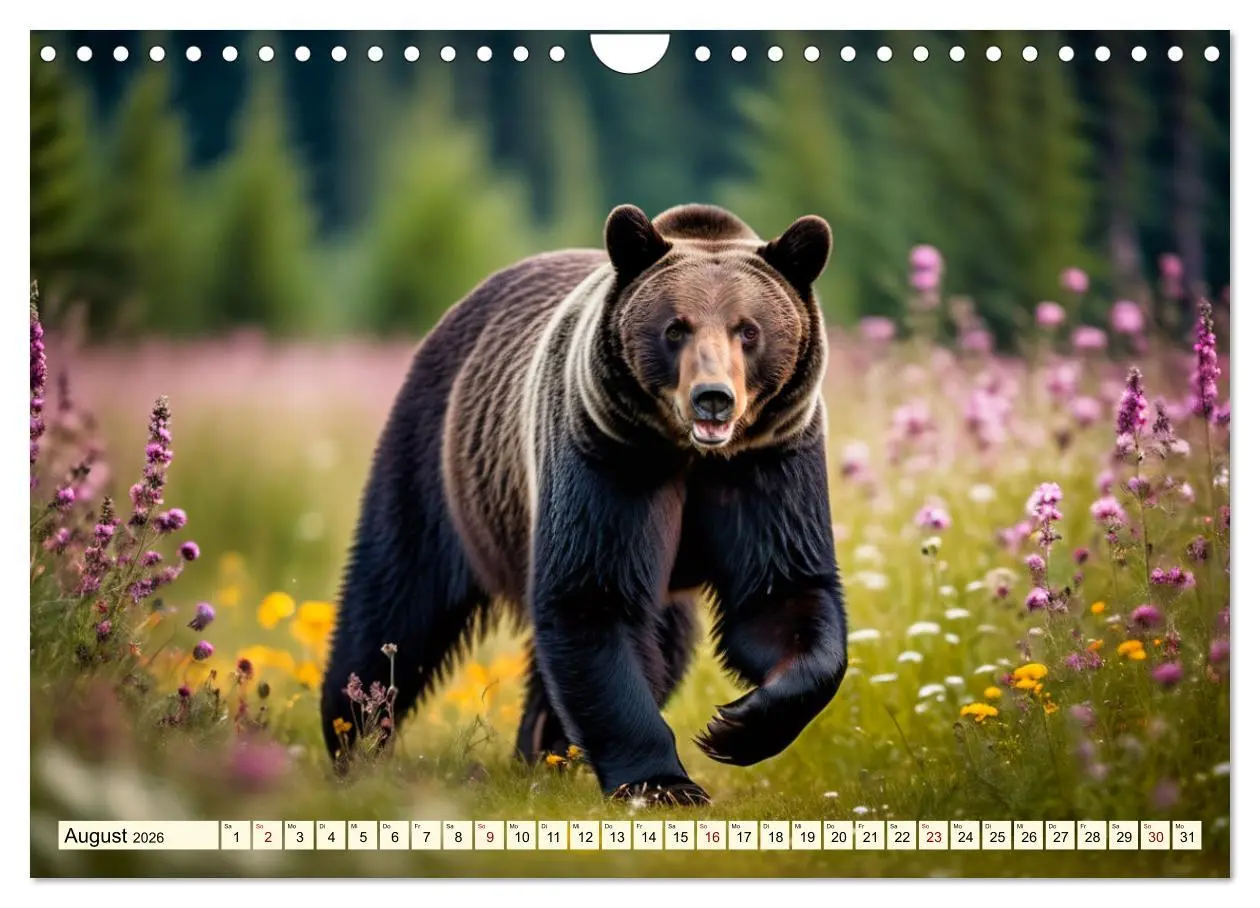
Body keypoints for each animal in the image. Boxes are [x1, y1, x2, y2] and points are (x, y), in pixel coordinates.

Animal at [321, 203, 848, 805]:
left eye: (749, 329)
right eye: (675, 328)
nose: (712, 397)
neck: (689, 454)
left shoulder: (767, 464)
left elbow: (782, 595)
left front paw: (737, 726)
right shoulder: (607, 455)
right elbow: (592, 598)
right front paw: (664, 782)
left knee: (663, 643)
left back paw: (540, 751)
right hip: (439, 458)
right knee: (394, 601)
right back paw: (354, 737)